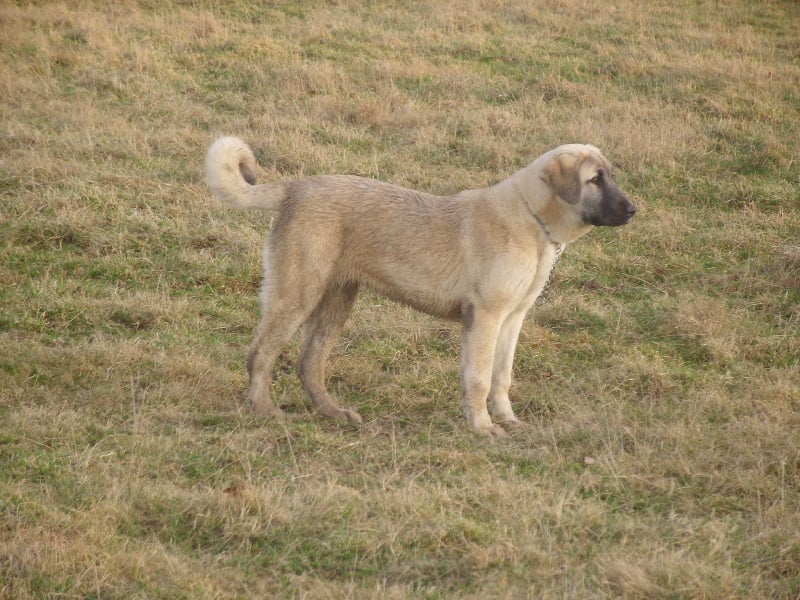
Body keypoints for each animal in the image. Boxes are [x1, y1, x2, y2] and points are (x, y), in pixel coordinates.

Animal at [206, 136, 636, 436]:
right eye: (595, 180)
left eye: (609, 176)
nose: (633, 210)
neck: (532, 220)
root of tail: (295, 188)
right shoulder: (486, 316)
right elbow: (479, 377)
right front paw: (483, 428)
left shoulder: (512, 319)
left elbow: (501, 377)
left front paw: (508, 421)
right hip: (297, 296)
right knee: (261, 354)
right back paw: (264, 411)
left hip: (336, 302)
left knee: (309, 363)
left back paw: (334, 413)